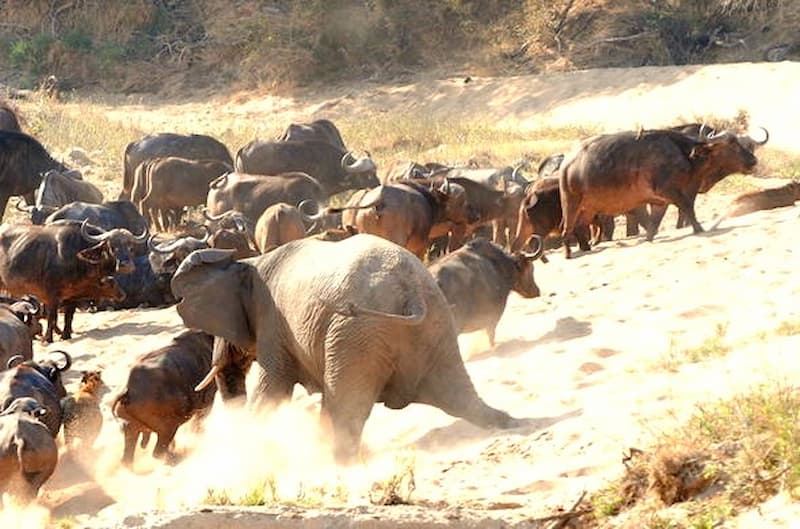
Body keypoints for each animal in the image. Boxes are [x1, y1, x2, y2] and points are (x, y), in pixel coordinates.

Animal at [111, 332, 216, 464]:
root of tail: (127, 390)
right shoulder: (207, 400)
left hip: (130, 426)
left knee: (127, 457)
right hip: (168, 426)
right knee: (158, 451)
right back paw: (175, 457)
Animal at [171, 233, 520, 460]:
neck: (249, 261)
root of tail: (410, 294)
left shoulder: (272, 322)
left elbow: (275, 385)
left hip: (355, 335)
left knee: (346, 406)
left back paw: (332, 457)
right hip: (435, 326)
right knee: (457, 393)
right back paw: (508, 422)